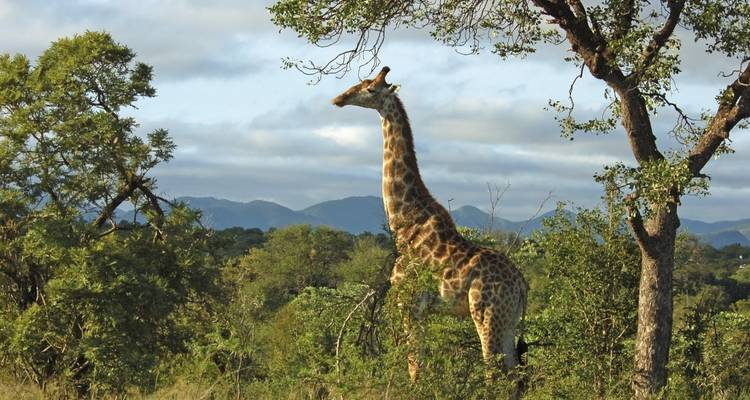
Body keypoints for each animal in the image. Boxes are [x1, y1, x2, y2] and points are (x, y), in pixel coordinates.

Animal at [332, 66, 529, 387]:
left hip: (486, 314)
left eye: (371, 89)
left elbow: (414, 366)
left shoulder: (409, 303)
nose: (339, 98)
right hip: (509, 320)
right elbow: (418, 363)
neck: (404, 223)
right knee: (515, 378)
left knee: (495, 374)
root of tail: (523, 284)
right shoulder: (424, 310)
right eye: (360, 82)